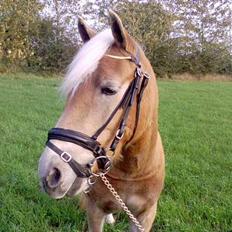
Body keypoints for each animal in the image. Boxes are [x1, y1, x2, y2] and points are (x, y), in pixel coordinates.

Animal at [38, 10, 164, 231]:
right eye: (71, 90)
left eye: (109, 89)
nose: (51, 174)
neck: (130, 170)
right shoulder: (95, 211)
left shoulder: (146, 215)